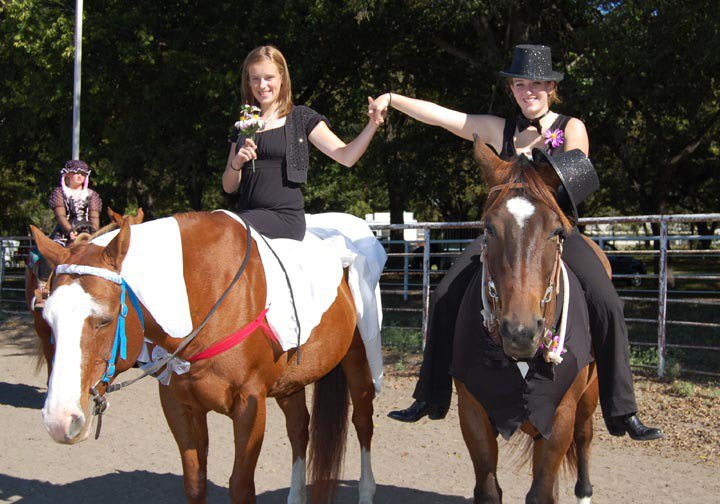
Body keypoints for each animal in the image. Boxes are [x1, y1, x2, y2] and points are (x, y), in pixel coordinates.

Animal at [458, 139, 604, 504]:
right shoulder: (472, 414)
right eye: (489, 228)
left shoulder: (560, 417)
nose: (521, 332)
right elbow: (488, 489)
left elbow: (540, 493)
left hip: (588, 400)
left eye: (556, 231)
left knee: (584, 440)